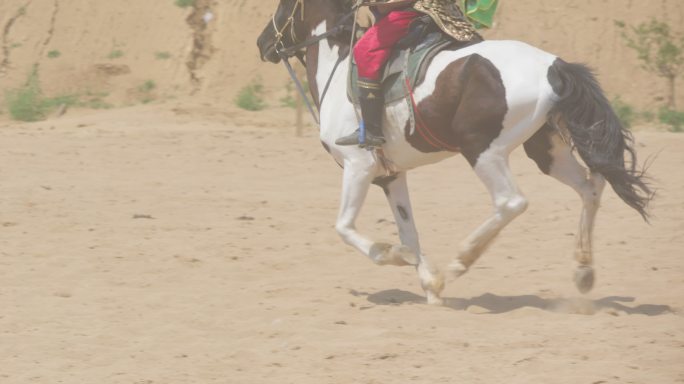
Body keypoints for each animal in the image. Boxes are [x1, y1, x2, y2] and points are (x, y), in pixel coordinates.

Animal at [256, 0, 652, 306]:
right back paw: (583, 271)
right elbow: (409, 232)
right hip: (545, 149)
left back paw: (460, 261)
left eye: (283, 5)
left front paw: (396, 256)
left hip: (482, 151)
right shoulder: (390, 175)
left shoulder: (358, 167)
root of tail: (553, 66)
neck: (337, 73)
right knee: (590, 187)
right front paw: (430, 286)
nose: (263, 43)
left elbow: (345, 227)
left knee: (511, 202)